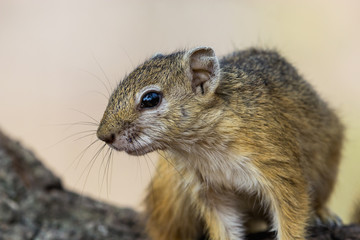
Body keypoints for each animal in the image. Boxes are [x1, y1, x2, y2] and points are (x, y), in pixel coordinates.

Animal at [95, 46, 344, 239]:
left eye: (150, 99)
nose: (103, 135)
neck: (201, 148)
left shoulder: (280, 170)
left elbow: (291, 218)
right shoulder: (211, 195)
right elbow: (224, 229)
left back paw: (324, 214)